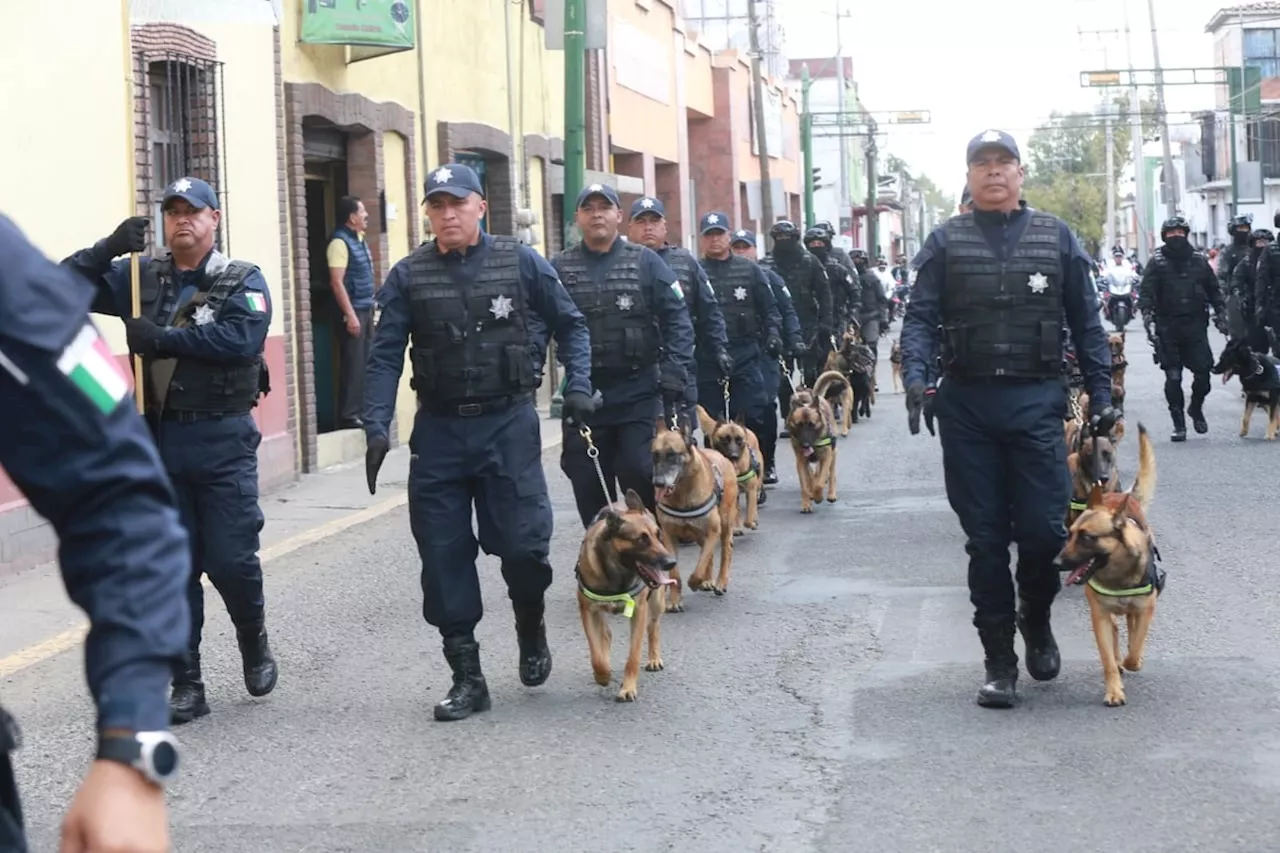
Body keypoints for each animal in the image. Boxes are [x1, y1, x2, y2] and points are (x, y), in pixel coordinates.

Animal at [578, 489, 680, 701]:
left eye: (658, 534)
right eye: (642, 539)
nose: (671, 562)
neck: (617, 573)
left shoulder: (639, 612)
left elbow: (633, 656)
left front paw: (628, 687)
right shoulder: (588, 611)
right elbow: (596, 654)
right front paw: (602, 674)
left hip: (656, 603)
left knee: (653, 627)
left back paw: (654, 658)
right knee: (606, 635)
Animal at [650, 417, 742, 604]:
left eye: (672, 454)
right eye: (655, 455)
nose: (658, 483)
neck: (682, 494)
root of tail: (723, 457)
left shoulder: (713, 531)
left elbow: (699, 567)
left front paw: (695, 582)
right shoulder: (669, 536)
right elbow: (675, 573)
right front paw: (674, 600)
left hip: (724, 525)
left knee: (725, 552)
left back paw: (720, 582)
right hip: (700, 535)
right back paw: (708, 580)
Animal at [696, 404, 762, 532]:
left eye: (739, 440)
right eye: (724, 439)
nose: (734, 456)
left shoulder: (751, 489)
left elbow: (749, 516)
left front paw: (750, 522)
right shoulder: (731, 495)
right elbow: (734, 513)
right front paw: (735, 528)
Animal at [783, 384, 834, 512]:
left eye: (812, 425)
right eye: (799, 425)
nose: (805, 445)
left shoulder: (826, 457)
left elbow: (820, 483)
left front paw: (818, 497)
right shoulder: (801, 462)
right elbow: (805, 486)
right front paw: (806, 503)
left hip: (834, 455)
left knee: (831, 474)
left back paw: (831, 494)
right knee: (811, 476)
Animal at [1054, 422, 1157, 706]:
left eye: (1087, 537)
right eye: (1071, 535)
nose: (1057, 562)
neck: (1116, 574)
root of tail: (1114, 497)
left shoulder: (1145, 609)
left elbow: (1135, 648)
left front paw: (1133, 661)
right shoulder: (1099, 615)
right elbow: (1109, 659)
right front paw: (1114, 690)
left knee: (1130, 631)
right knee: (1115, 631)